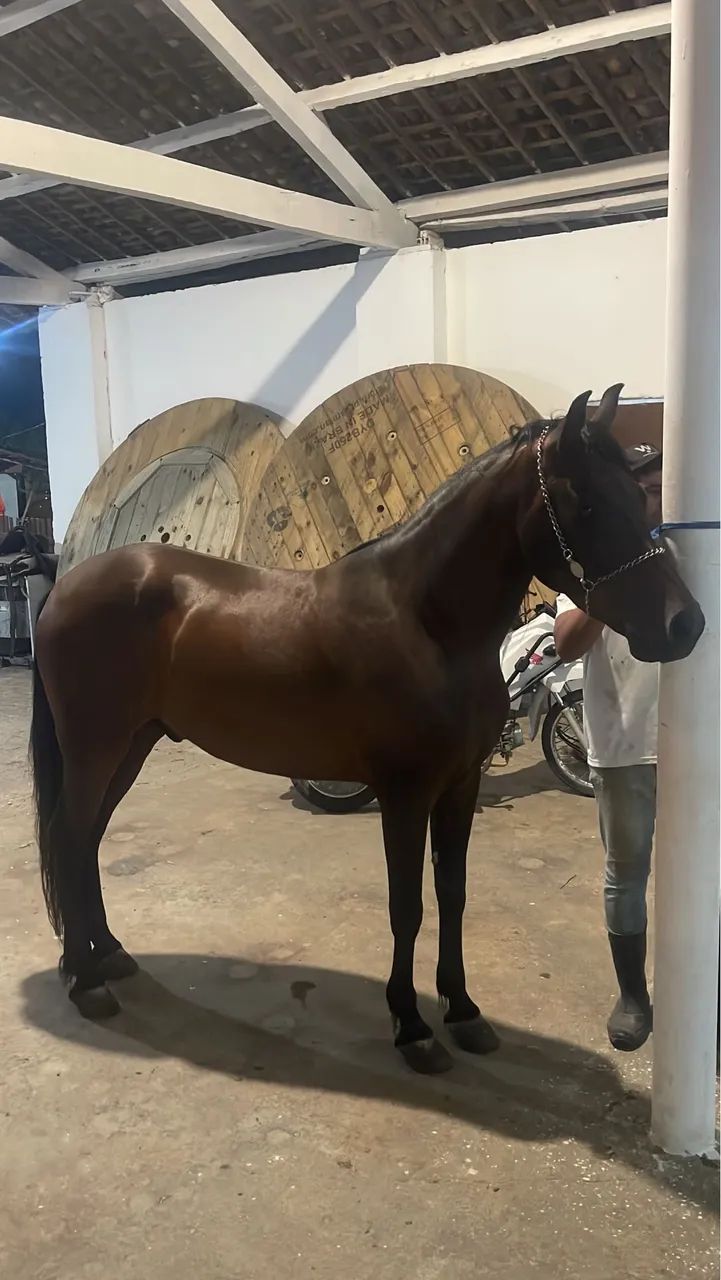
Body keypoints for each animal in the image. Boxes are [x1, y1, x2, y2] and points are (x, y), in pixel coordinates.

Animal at [30, 386, 704, 1073]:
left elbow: (452, 893)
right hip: (95, 749)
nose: (685, 625)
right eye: (587, 502)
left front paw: (463, 1011)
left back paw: (108, 955)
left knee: (86, 839)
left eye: (637, 497)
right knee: (68, 835)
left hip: (130, 746)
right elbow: (407, 906)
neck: (425, 622)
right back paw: (85, 981)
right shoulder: (404, 794)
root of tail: (66, 587)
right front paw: (412, 1026)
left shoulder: (458, 788)